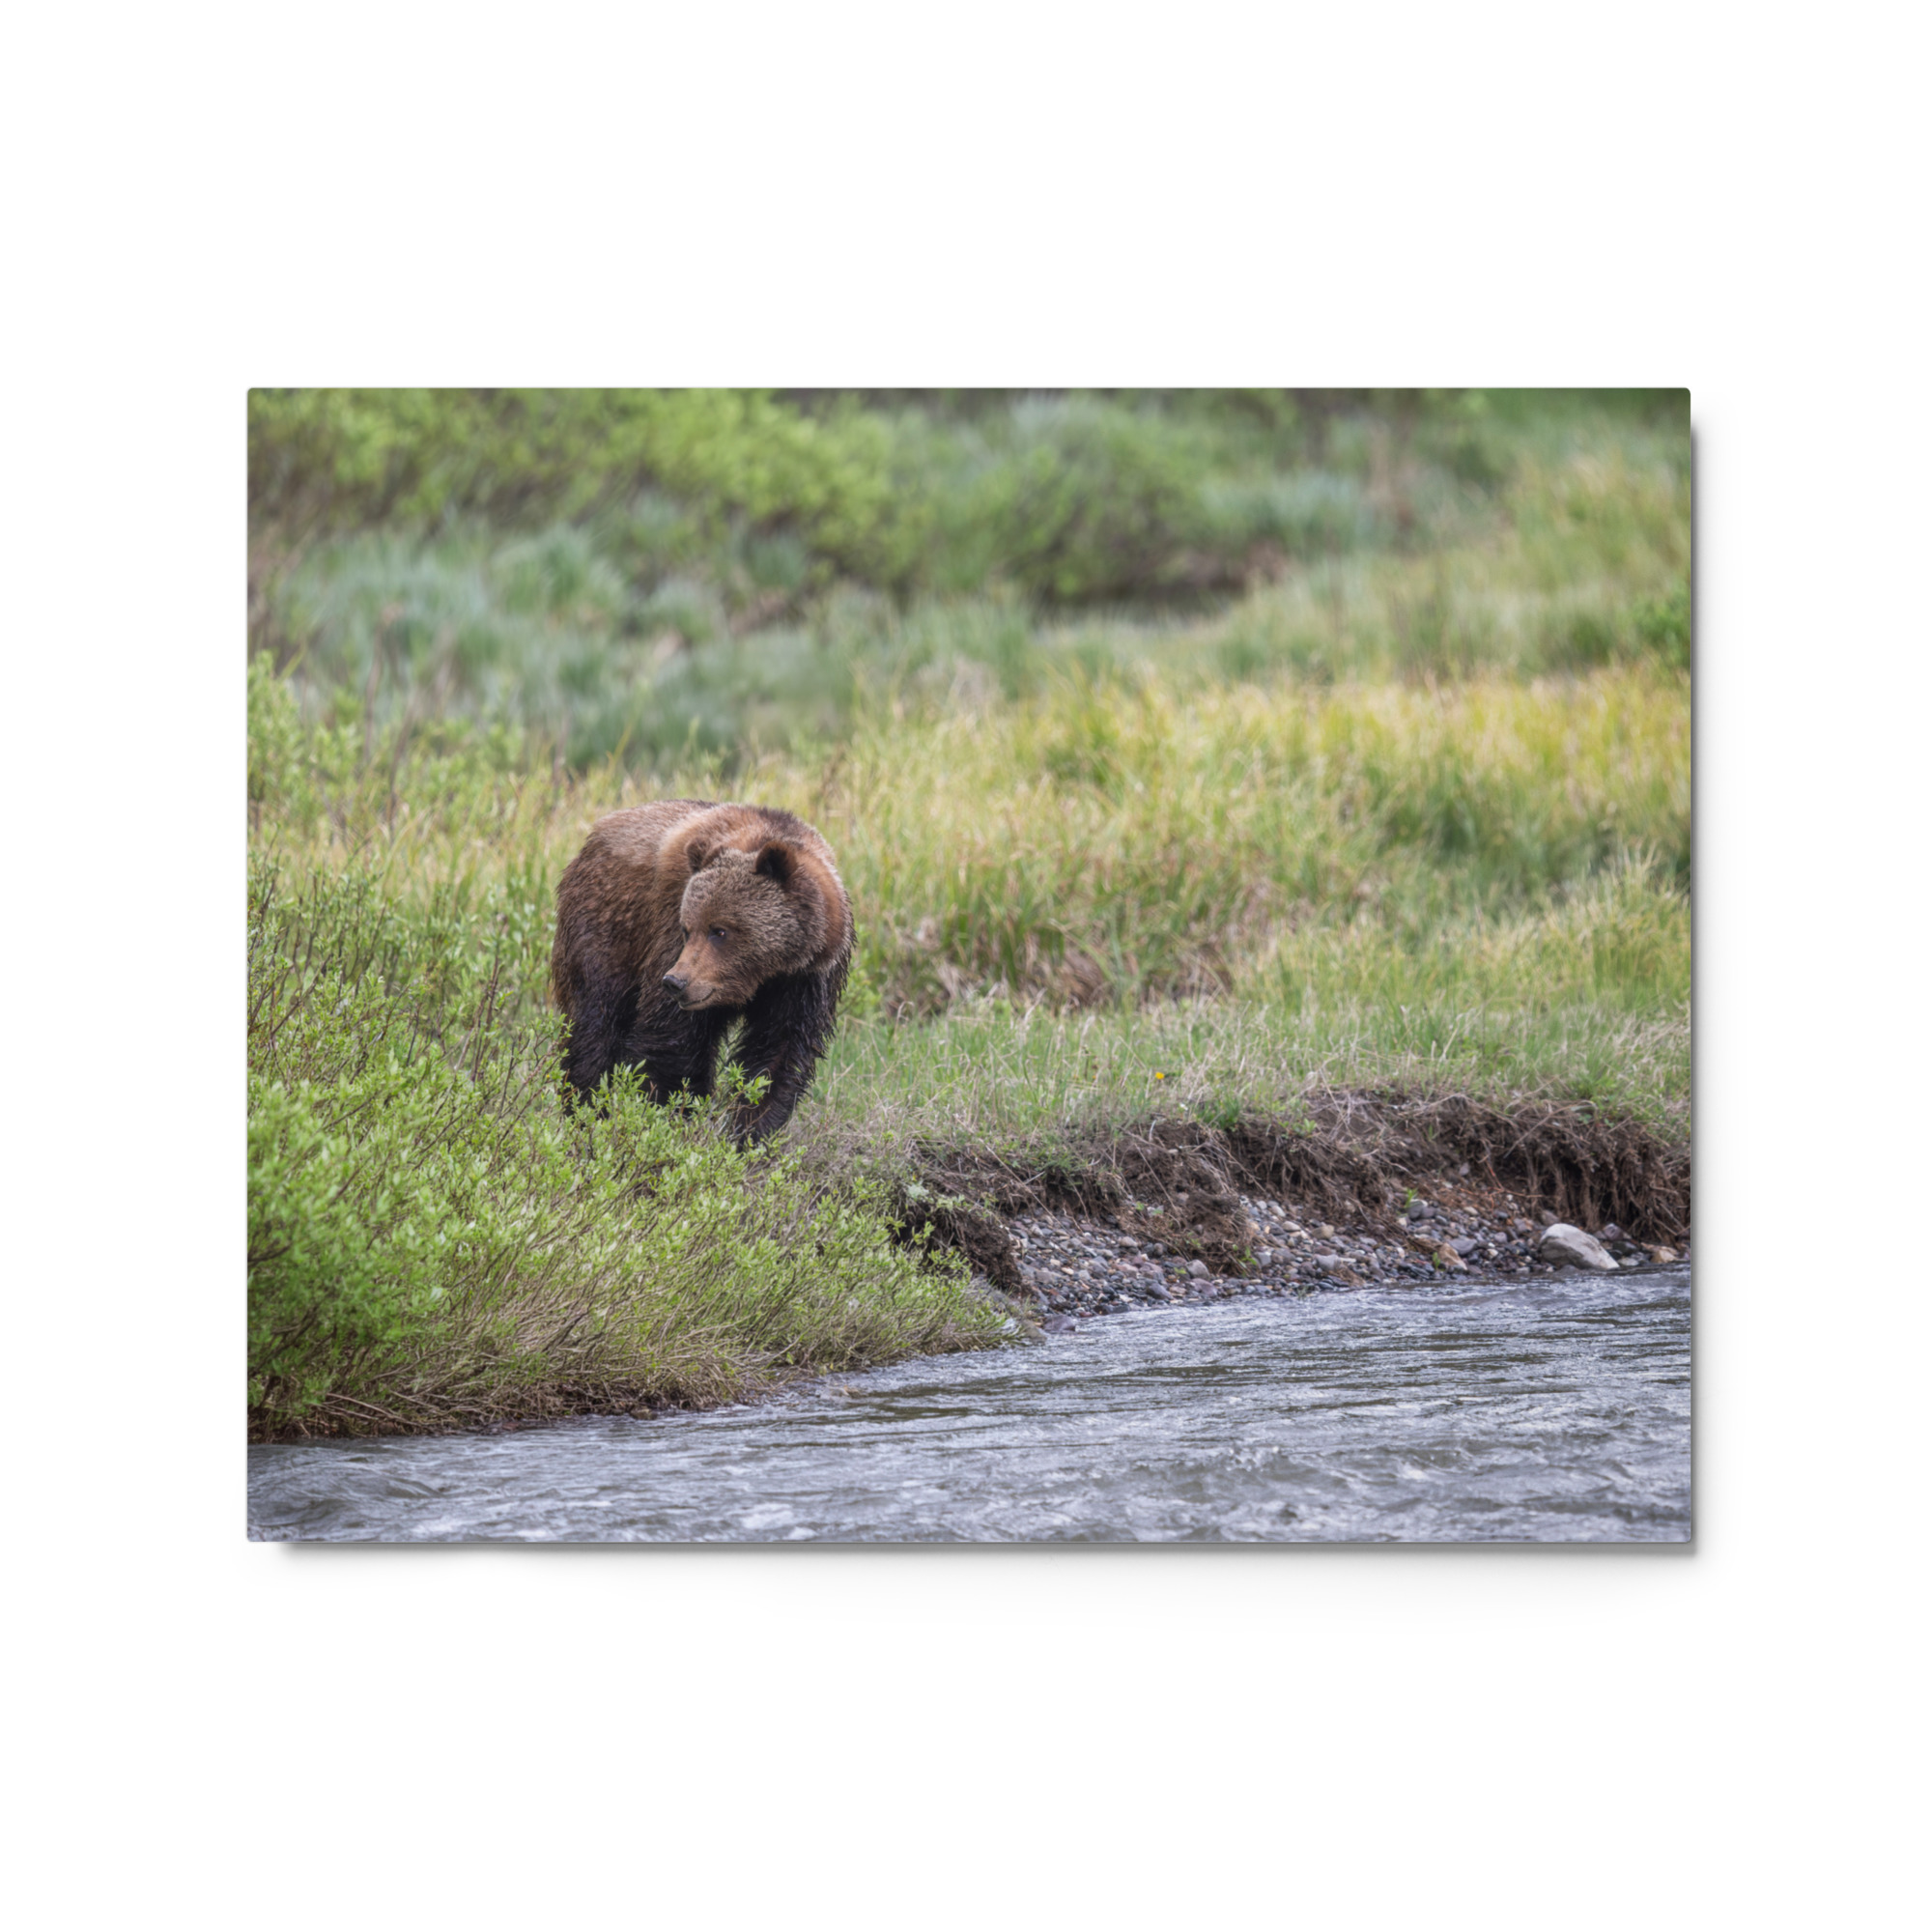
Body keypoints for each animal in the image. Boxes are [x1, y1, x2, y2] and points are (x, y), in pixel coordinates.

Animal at [550, 799, 853, 1142]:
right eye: (688, 928)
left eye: (719, 931)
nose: (676, 982)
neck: (765, 973)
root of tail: (595, 835)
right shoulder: (668, 934)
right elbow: (673, 1042)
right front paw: (668, 1117)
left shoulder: (806, 981)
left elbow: (778, 1054)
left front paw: (748, 1130)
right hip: (607, 927)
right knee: (595, 1024)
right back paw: (587, 1112)